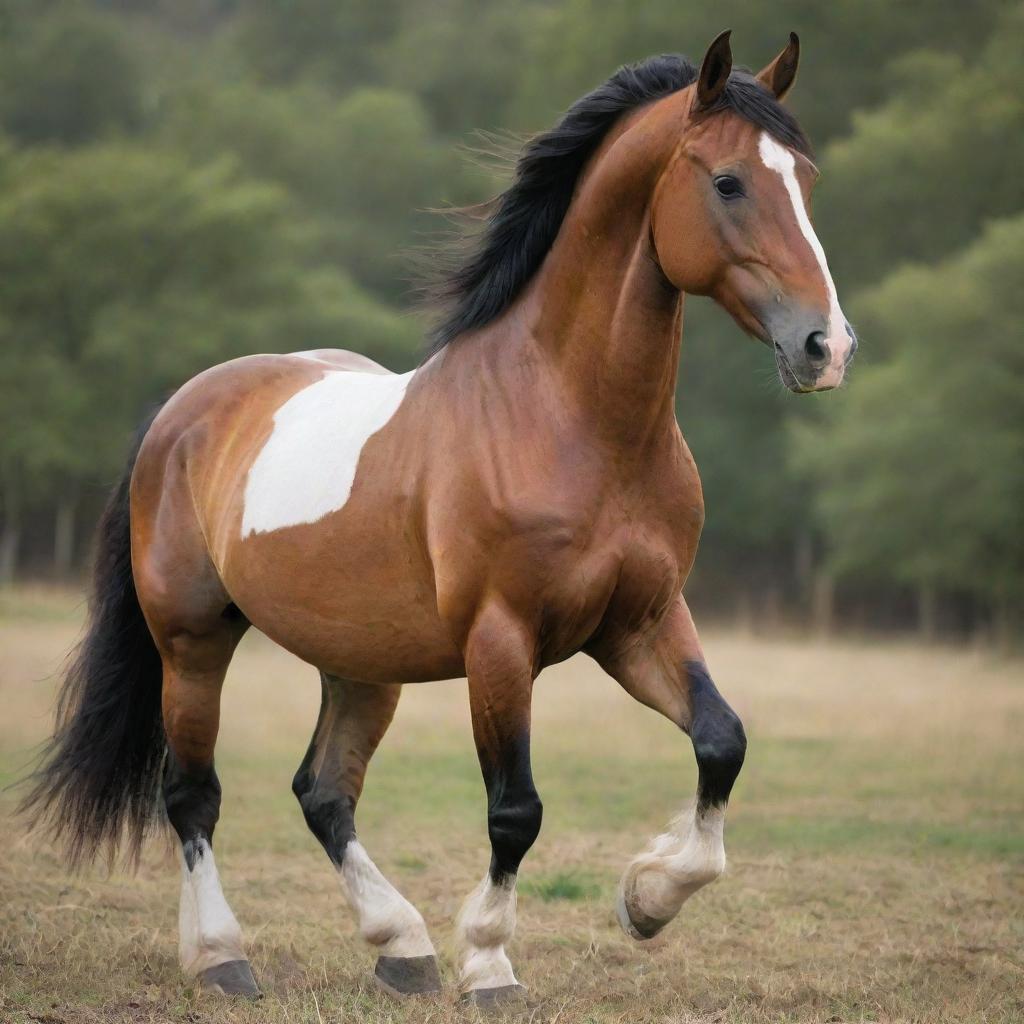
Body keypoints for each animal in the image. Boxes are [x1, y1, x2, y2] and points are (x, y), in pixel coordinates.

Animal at [24, 32, 856, 1007]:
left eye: (807, 178)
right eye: (728, 182)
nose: (827, 347)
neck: (568, 419)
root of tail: (182, 410)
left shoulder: (640, 623)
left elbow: (722, 742)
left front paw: (646, 899)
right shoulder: (500, 643)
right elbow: (516, 808)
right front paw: (491, 960)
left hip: (359, 664)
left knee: (323, 792)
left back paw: (401, 946)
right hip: (193, 642)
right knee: (192, 793)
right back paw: (223, 957)